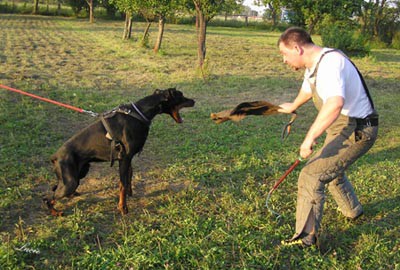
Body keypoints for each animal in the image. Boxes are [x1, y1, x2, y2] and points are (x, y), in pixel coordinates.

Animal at [47, 88, 195, 215]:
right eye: (181, 95)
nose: (193, 101)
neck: (139, 114)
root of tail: (55, 156)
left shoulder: (128, 159)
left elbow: (128, 177)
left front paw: (129, 193)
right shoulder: (124, 158)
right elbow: (123, 185)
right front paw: (123, 208)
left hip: (80, 172)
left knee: (56, 187)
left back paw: (71, 196)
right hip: (70, 181)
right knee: (48, 198)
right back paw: (56, 212)